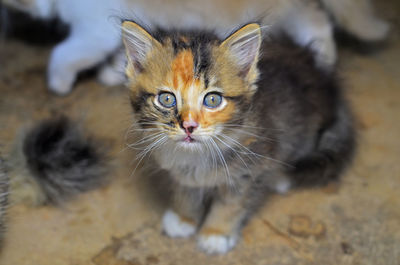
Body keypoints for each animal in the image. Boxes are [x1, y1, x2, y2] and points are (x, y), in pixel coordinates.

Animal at [122, 21, 356, 253]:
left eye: (212, 100)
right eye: (167, 99)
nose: (189, 126)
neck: (197, 157)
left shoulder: (249, 170)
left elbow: (230, 204)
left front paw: (216, 233)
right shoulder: (183, 172)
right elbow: (187, 189)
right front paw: (184, 218)